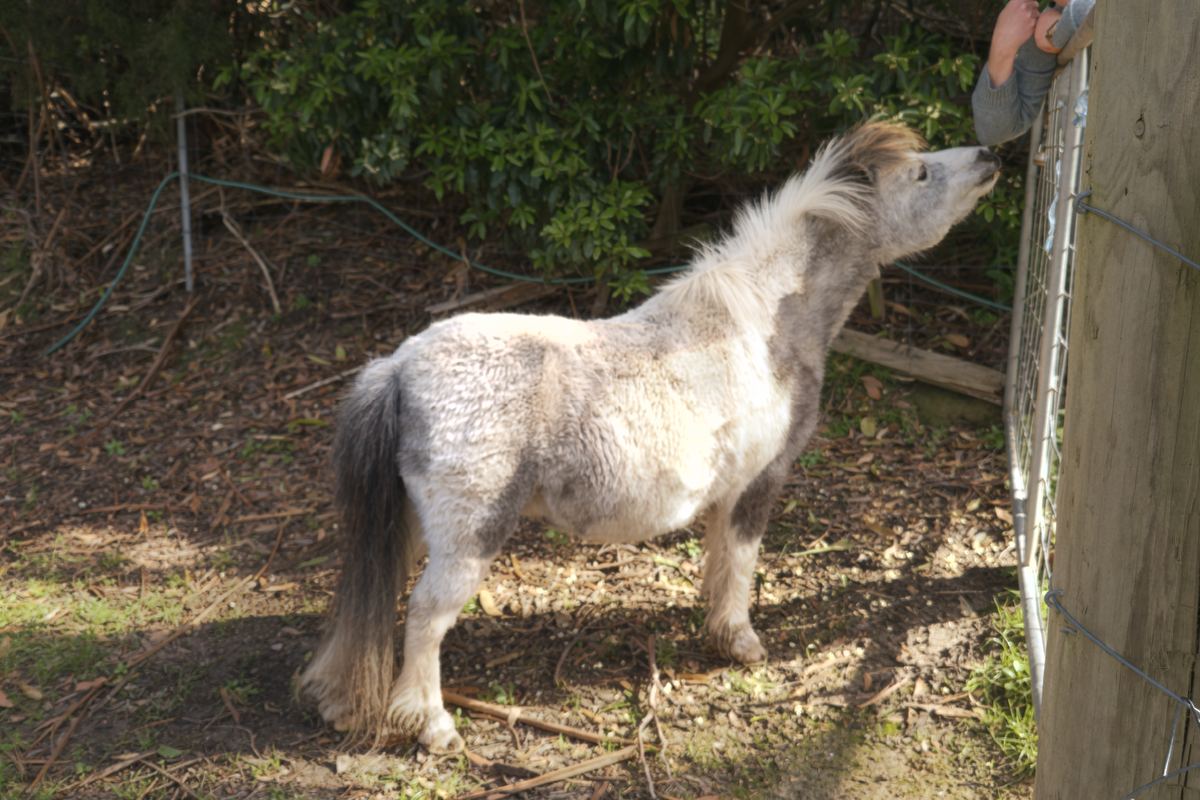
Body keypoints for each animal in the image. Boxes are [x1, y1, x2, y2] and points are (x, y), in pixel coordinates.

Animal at [299, 121, 1002, 752]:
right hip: (469, 538)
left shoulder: (728, 492)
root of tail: (400, 367)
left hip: (412, 526)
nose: (990, 155)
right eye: (921, 173)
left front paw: (717, 629)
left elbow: (718, 561)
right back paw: (432, 726)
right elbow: (741, 563)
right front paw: (741, 642)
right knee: (424, 617)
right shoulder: (760, 483)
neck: (765, 327)